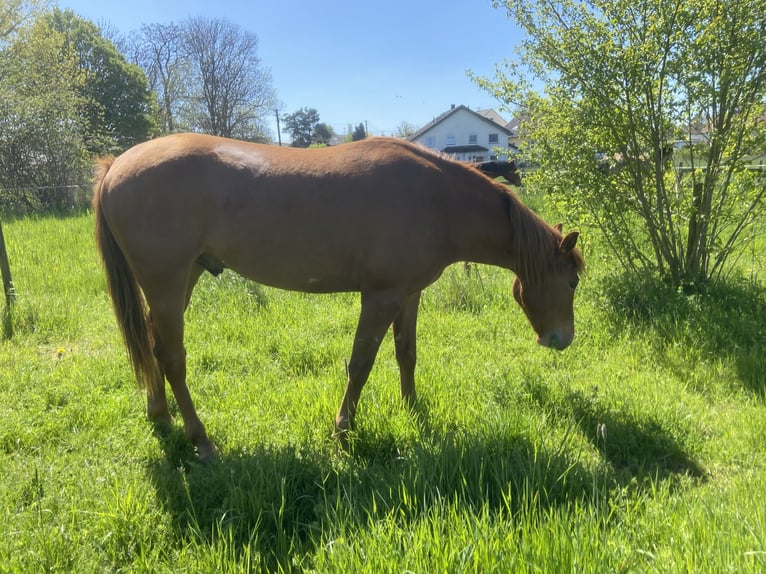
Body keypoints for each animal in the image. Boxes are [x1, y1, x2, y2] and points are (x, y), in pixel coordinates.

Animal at [93, 134, 583, 461]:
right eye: (573, 282)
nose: (562, 340)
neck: (435, 199)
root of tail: (118, 164)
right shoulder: (380, 297)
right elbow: (360, 365)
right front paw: (343, 431)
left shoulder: (408, 295)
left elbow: (406, 353)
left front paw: (413, 411)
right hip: (167, 282)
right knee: (172, 357)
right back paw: (202, 441)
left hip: (180, 280)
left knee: (152, 347)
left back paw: (160, 414)